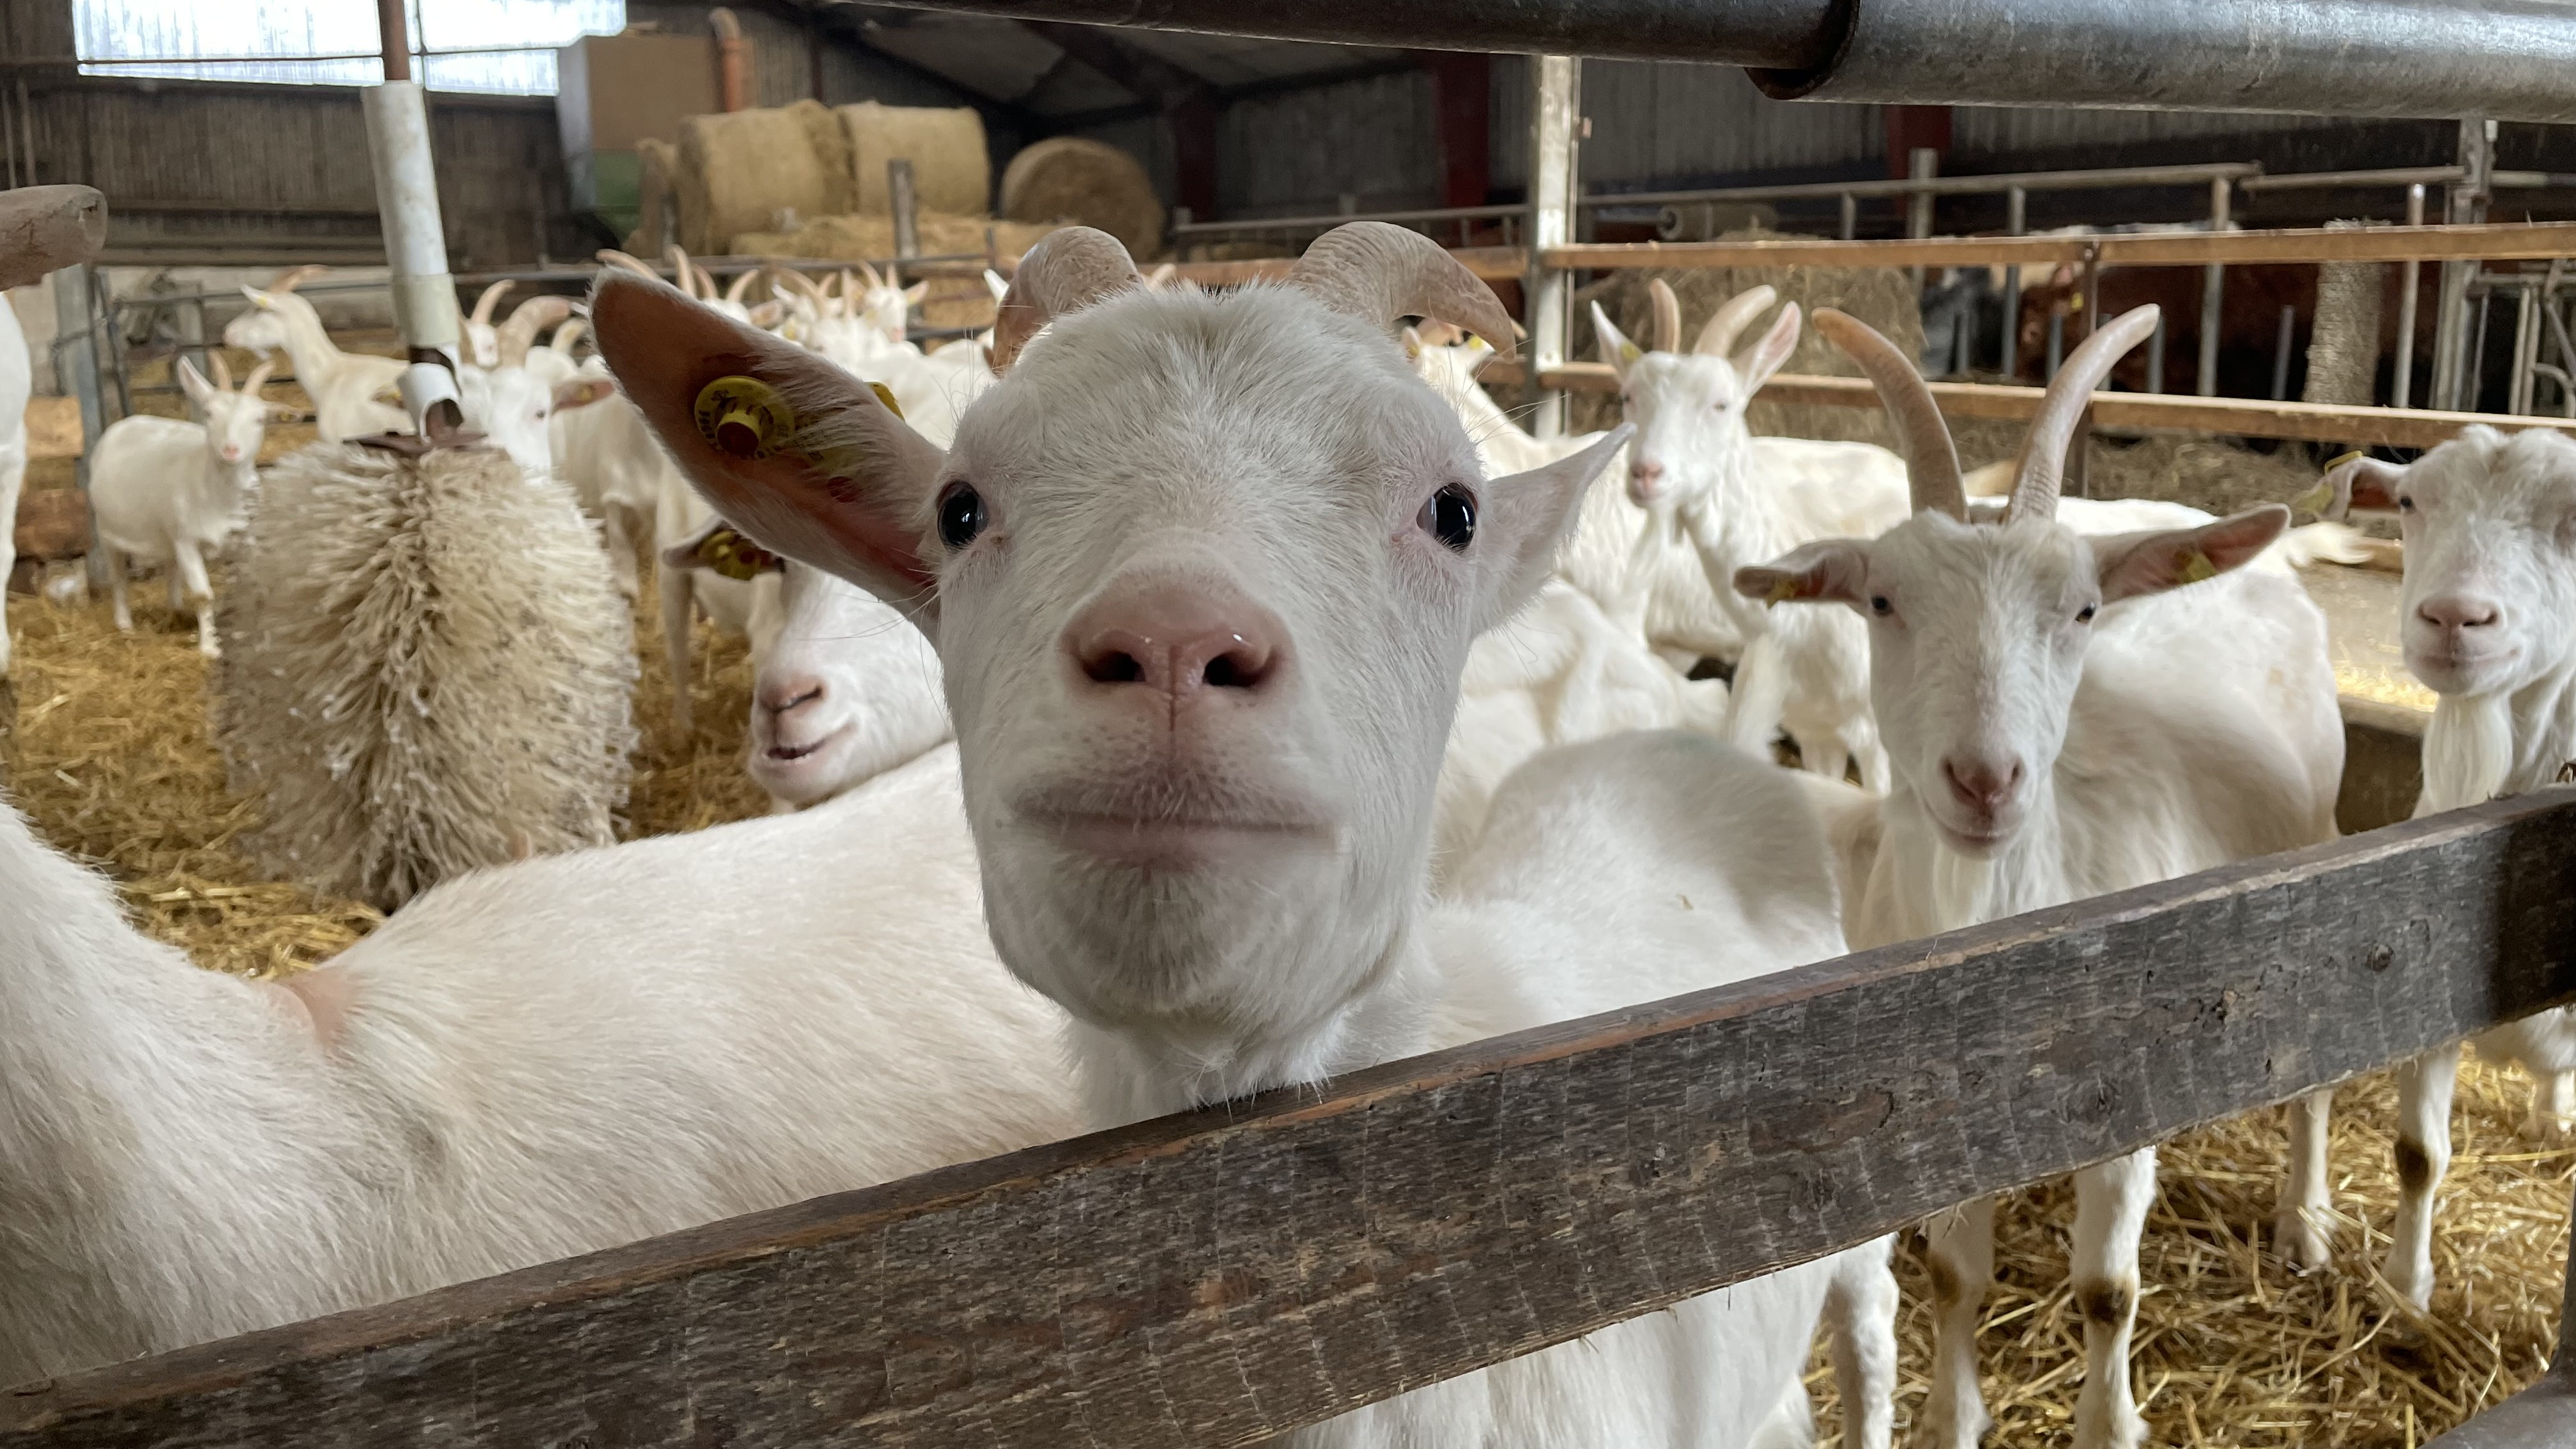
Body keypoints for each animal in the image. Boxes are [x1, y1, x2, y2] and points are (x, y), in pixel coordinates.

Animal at [88, 355, 283, 656]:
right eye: (209, 413)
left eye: (260, 419)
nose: (231, 450)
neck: (220, 497)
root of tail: (129, 421)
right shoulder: (187, 540)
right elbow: (204, 596)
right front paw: (209, 647)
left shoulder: (246, 540)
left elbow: (255, 590)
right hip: (107, 528)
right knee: (118, 575)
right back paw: (124, 624)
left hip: (166, 532)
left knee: (171, 569)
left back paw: (176, 610)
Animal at [1597, 282, 1913, 787]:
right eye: (1628, 396)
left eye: (1721, 404)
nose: (1646, 473)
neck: (1805, 628)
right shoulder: (1814, 732)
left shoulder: (1878, 737)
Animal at [1736, 304, 2343, 1449]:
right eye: (1880, 600)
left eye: (2085, 609)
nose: (1985, 780)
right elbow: (1951, 1276)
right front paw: (1950, 1415)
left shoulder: (2129, 1094)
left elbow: (2106, 1288)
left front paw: (2110, 1422)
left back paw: (2305, 1222)